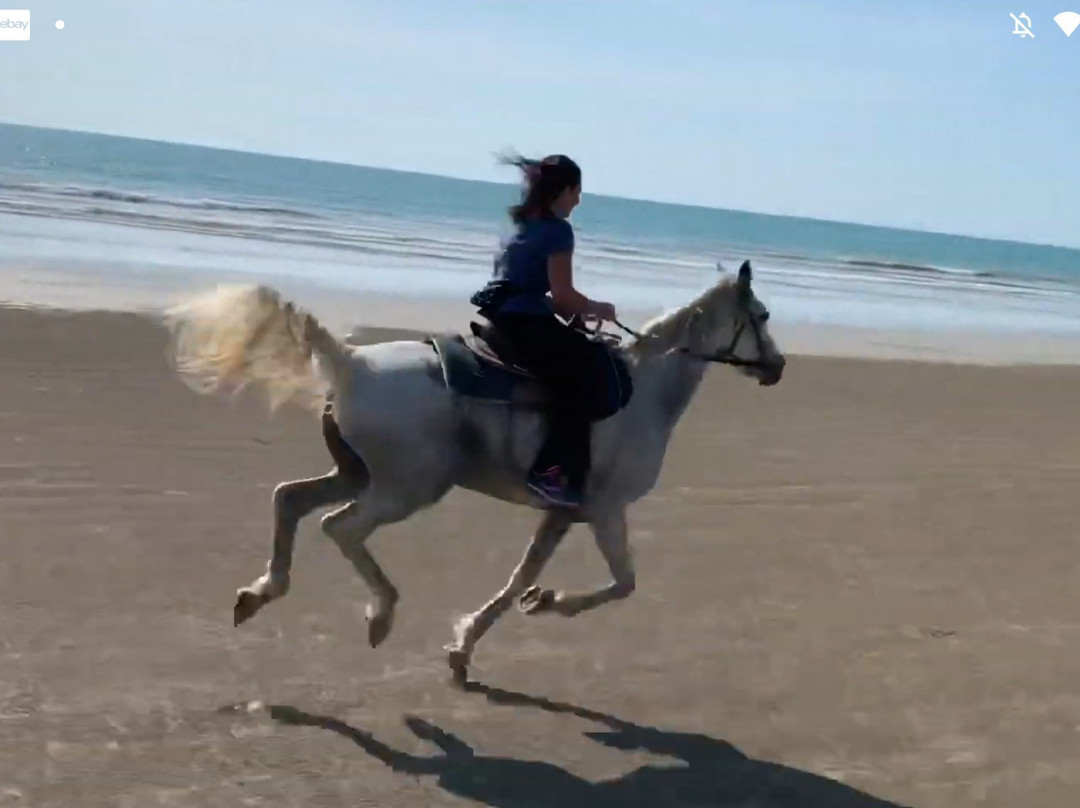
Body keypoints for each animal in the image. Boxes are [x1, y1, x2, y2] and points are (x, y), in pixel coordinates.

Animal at [163, 259, 786, 685]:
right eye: (761, 317)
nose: (778, 366)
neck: (644, 394)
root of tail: (353, 363)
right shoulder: (606, 511)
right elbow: (621, 583)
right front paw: (548, 603)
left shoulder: (563, 513)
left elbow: (517, 580)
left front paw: (469, 643)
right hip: (406, 489)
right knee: (339, 526)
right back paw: (380, 615)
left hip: (358, 473)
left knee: (289, 499)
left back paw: (259, 593)